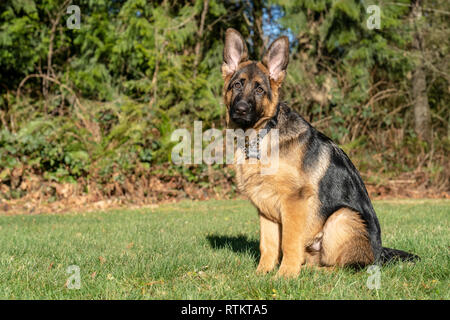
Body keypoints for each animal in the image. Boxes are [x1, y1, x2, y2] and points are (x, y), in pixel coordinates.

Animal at [221, 28, 418, 278]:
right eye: (237, 85)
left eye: (259, 89)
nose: (241, 110)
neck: (261, 135)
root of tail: (380, 254)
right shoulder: (266, 210)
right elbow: (268, 245)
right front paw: (261, 274)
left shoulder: (294, 202)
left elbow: (288, 242)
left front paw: (285, 276)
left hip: (341, 217)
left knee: (348, 267)